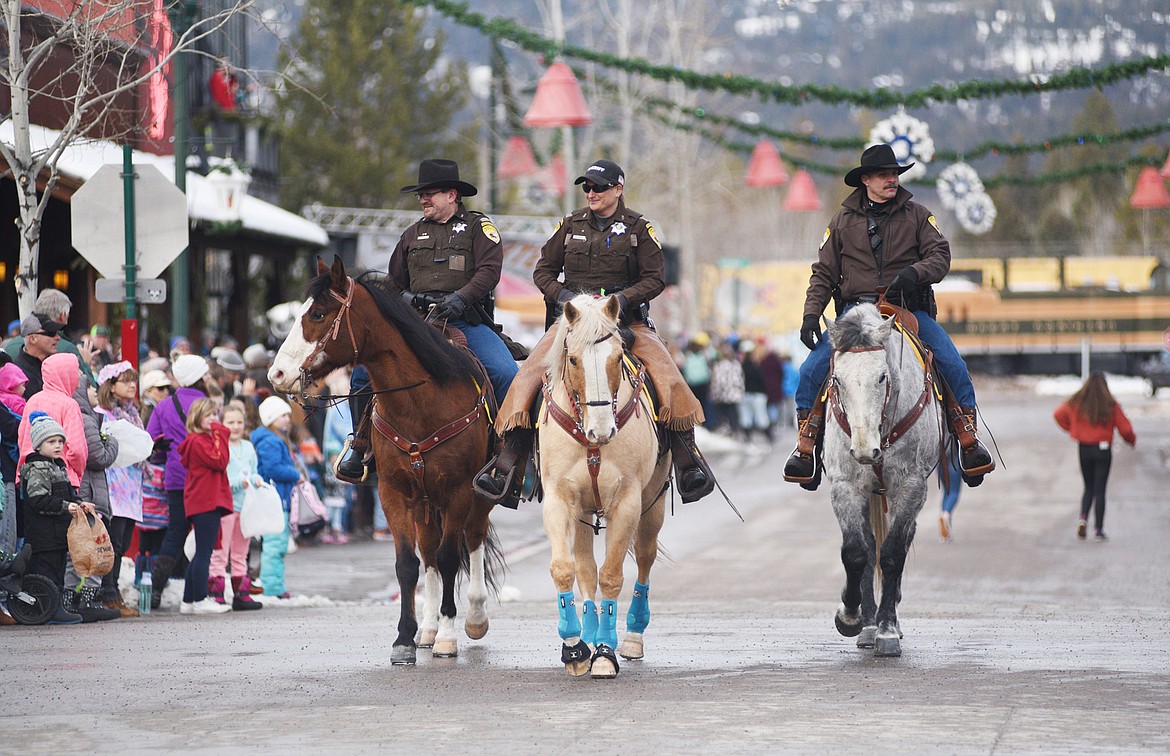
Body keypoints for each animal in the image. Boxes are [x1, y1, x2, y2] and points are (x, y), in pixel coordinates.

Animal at [269, 257, 503, 664]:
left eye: (317, 314)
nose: (277, 374)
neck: (421, 402)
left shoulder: (459, 492)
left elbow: (449, 557)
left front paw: (448, 636)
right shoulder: (395, 493)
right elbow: (409, 564)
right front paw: (406, 638)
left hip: (475, 496)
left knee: (471, 540)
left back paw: (473, 617)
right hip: (425, 502)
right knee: (429, 552)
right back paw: (428, 628)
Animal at [535, 296, 669, 683]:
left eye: (617, 357)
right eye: (574, 359)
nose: (602, 430)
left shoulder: (627, 503)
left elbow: (611, 576)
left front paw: (605, 654)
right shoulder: (559, 500)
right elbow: (565, 569)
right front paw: (575, 648)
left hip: (653, 502)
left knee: (644, 558)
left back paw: (633, 637)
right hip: (581, 512)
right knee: (584, 569)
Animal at [823, 301, 940, 655]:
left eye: (882, 377)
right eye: (837, 378)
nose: (864, 449)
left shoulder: (911, 485)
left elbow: (892, 554)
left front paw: (887, 630)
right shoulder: (846, 486)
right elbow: (857, 552)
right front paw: (851, 617)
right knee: (869, 545)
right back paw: (868, 624)